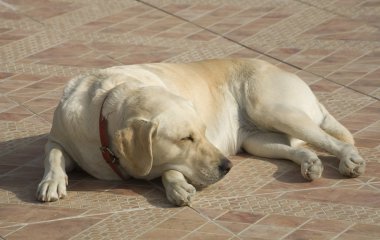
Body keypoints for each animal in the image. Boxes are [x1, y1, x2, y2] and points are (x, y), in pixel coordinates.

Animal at [35, 58, 366, 206]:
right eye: (186, 138)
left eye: (204, 133)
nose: (227, 166)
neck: (109, 101)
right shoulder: (59, 137)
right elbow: (53, 155)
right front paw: (52, 182)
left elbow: (169, 169)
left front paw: (176, 186)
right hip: (257, 140)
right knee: (299, 147)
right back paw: (310, 163)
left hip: (272, 109)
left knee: (333, 140)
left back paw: (349, 160)